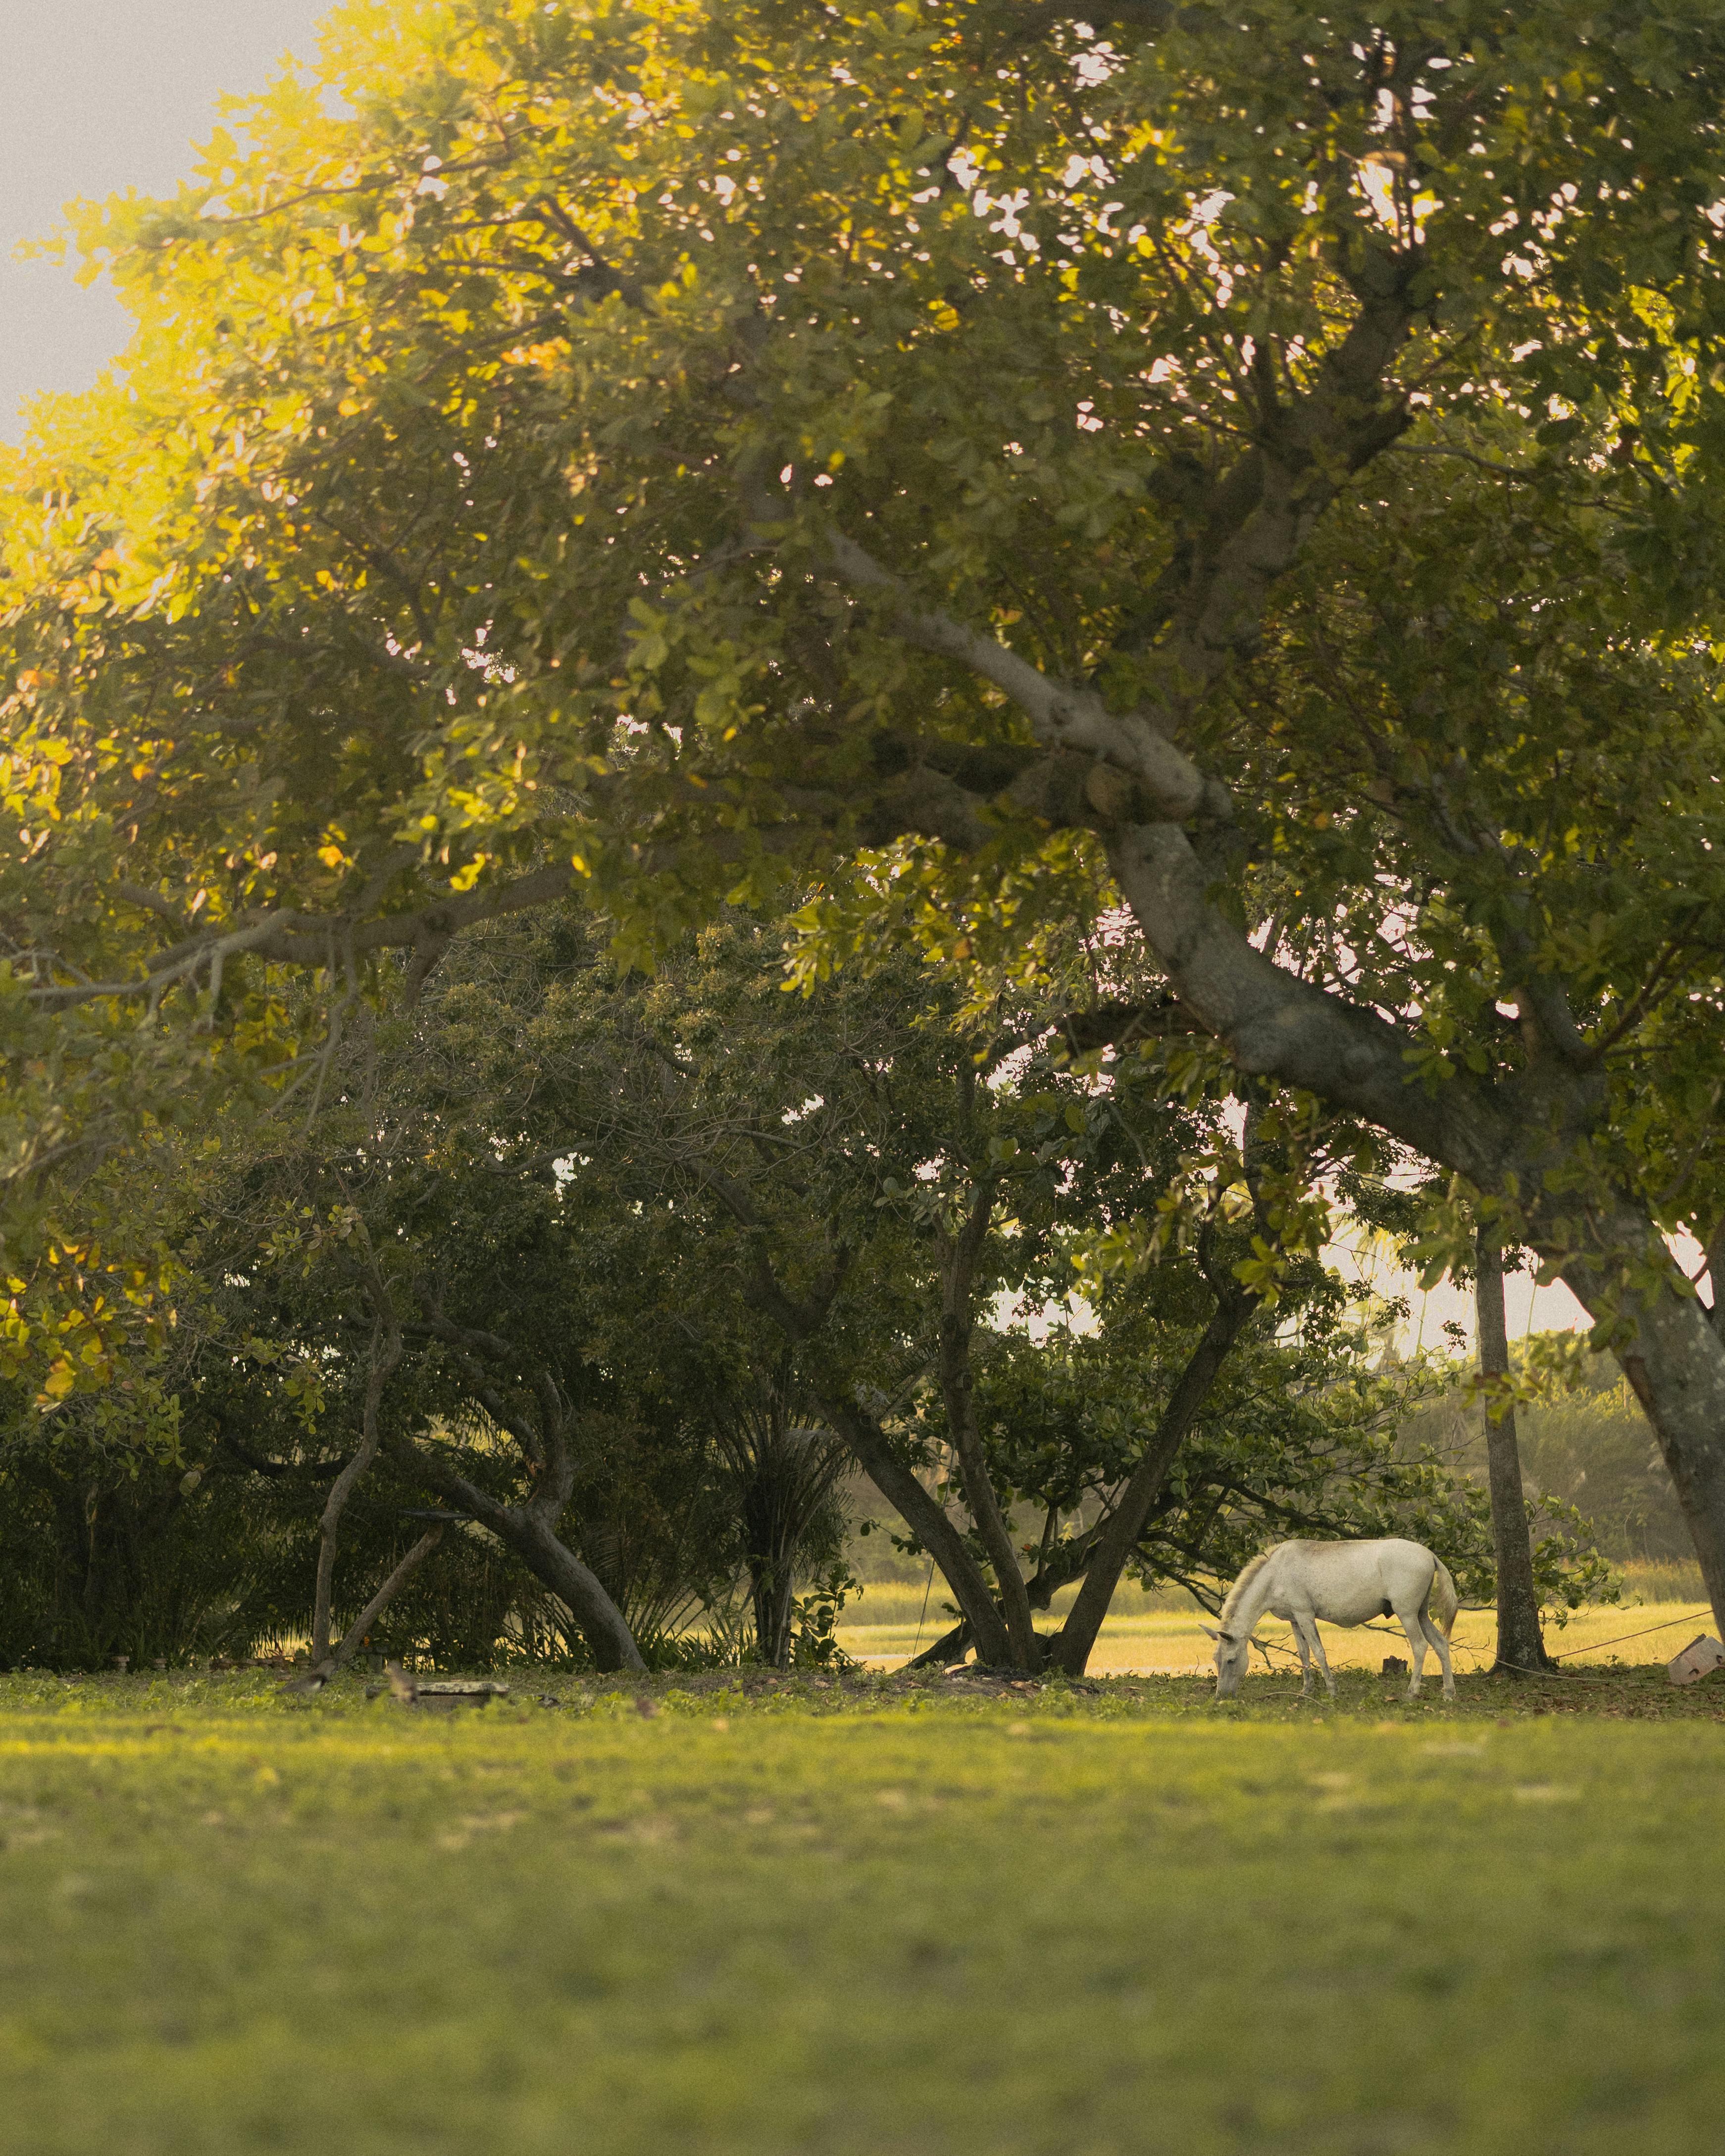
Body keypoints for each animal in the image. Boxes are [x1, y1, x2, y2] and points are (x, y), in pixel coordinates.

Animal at [1204, 1538, 1459, 1703]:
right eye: (1216, 1659)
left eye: (1231, 1660)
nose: (1221, 1697)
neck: (1276, 1574)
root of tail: (1430, 1555)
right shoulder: (1294, 1619)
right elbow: (1303, 1653)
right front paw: (1306, 1690)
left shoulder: (1305, 1614)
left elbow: (1318, 1652)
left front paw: (1332, 1690)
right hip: (1421, 1614)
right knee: (1440, 1644)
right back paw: (1448, 1693)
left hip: (1407, 1614)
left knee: (1420, 1646)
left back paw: (1412, 1692)